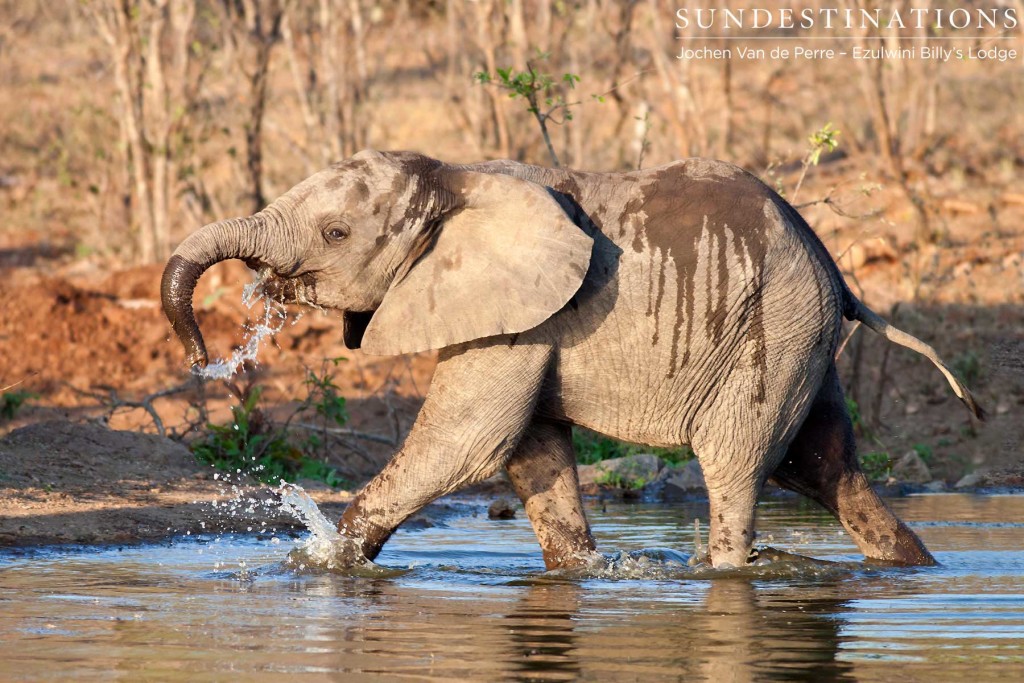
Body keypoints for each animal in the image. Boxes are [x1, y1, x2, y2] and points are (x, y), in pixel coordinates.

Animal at [161, 150, 983, 573]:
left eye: (335, 232)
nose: (205, 356)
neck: (456, 175)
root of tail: (835, 270)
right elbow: (530, 451)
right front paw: (582, 572)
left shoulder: (519, 313)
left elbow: (468, 441)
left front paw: (331, 560)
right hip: (800, 336)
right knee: (823, 467)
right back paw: (913, 568)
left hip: (770, 331)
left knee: (739, 467)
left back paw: (725, 573)